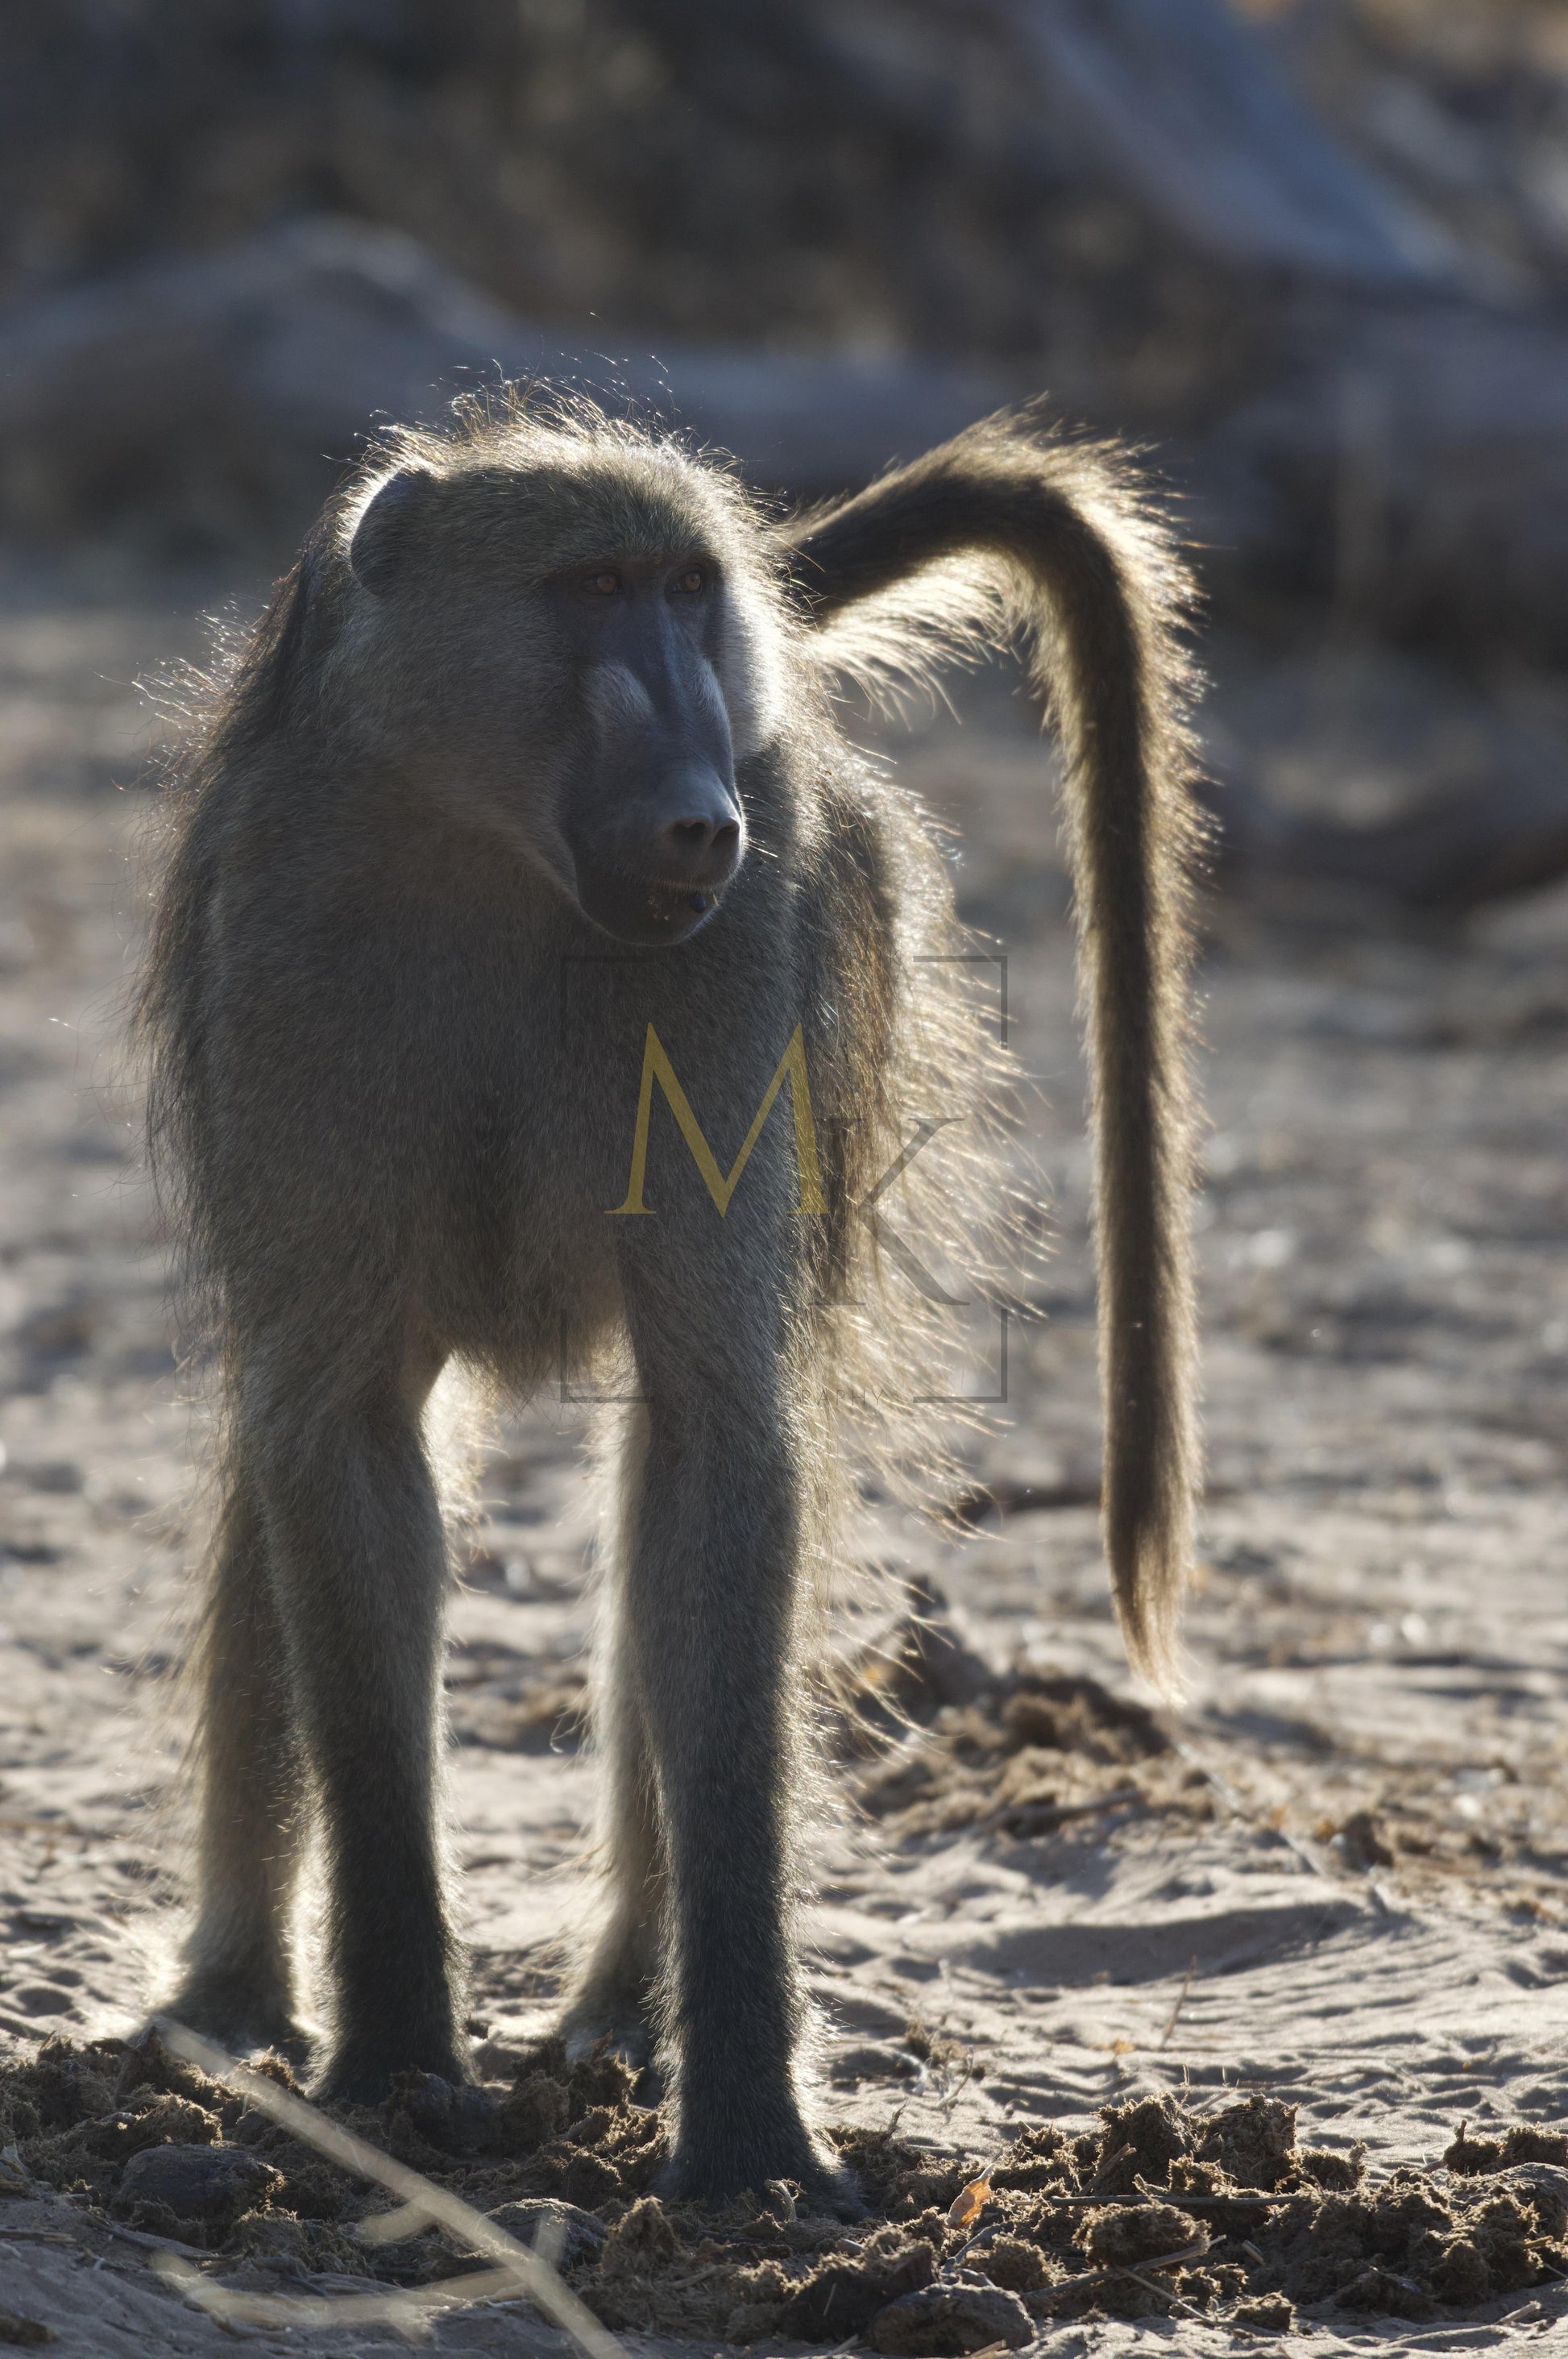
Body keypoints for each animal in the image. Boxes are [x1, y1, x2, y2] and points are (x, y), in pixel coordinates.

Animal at [137, 392, 1201, 2210]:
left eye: (686, 592)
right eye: (592, 589)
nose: (699, 810)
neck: (487, 852)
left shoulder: (741, 958)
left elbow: (717, 1451)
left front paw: (749, 2127)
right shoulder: (281, 946)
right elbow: (337, 1443)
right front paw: (399, 2065)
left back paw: (624, 2007)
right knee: (270, 1460)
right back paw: (232, 2004)